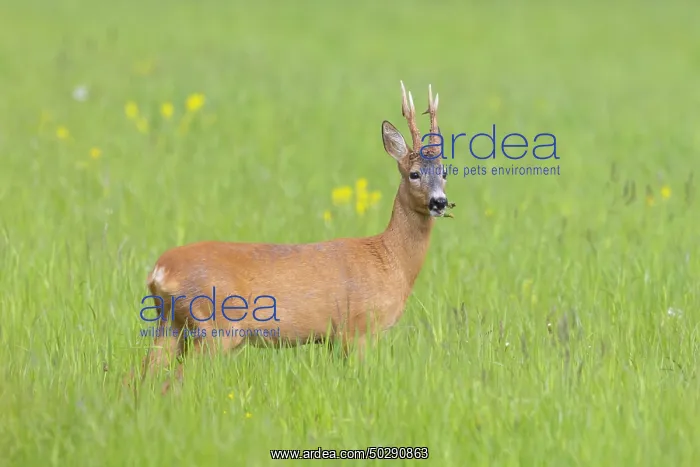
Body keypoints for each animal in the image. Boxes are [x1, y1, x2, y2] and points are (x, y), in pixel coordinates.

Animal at [130, 81, 454, 392]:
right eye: (414, 173)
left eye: (445, 172)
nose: (439, 202)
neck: (389, 259)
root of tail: (160, 271)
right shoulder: (358, 330)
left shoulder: (334, 337)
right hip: (217, 326)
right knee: (172, 381)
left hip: (169, 322)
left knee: (138, 377)